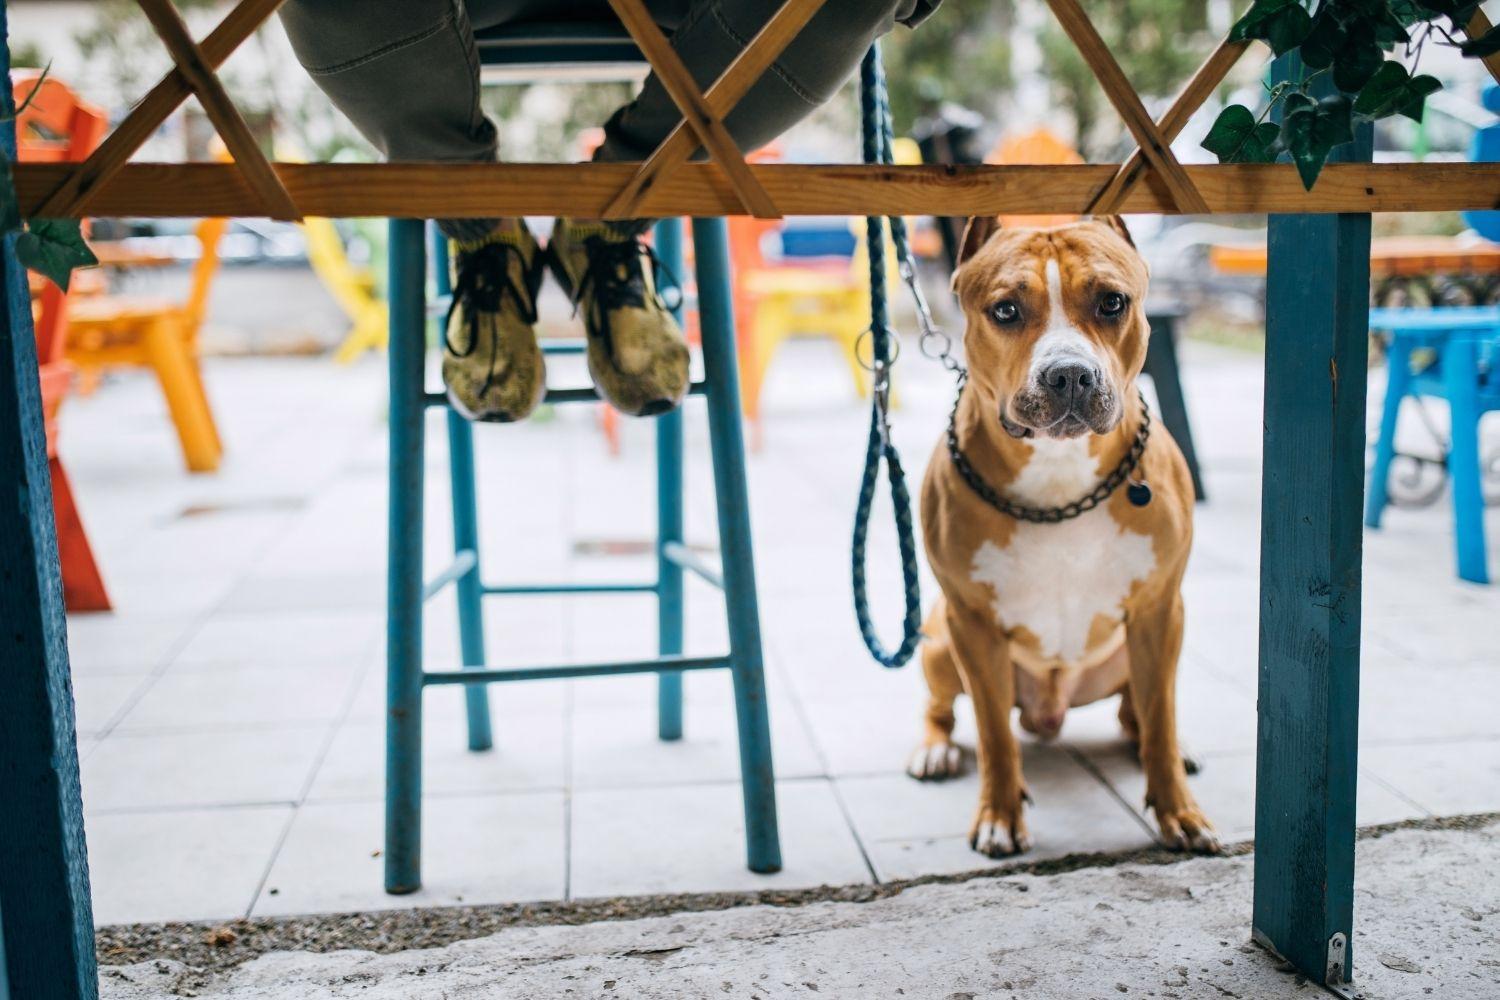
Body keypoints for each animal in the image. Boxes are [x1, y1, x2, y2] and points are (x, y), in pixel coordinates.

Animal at [912, 218, 1218, 863]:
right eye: (1005, 310)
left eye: (1112, 302)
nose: (1070, 373)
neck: (1060, 472)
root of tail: (1047, 715)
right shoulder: (971, 623)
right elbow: (993, 735)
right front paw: (999, 817)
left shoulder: (1159, 610)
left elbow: (1160, 715)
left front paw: (1178, 812)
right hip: (938, 640)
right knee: (944, 708)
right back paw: (934, 747)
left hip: (1140, 648)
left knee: (1140, 712)